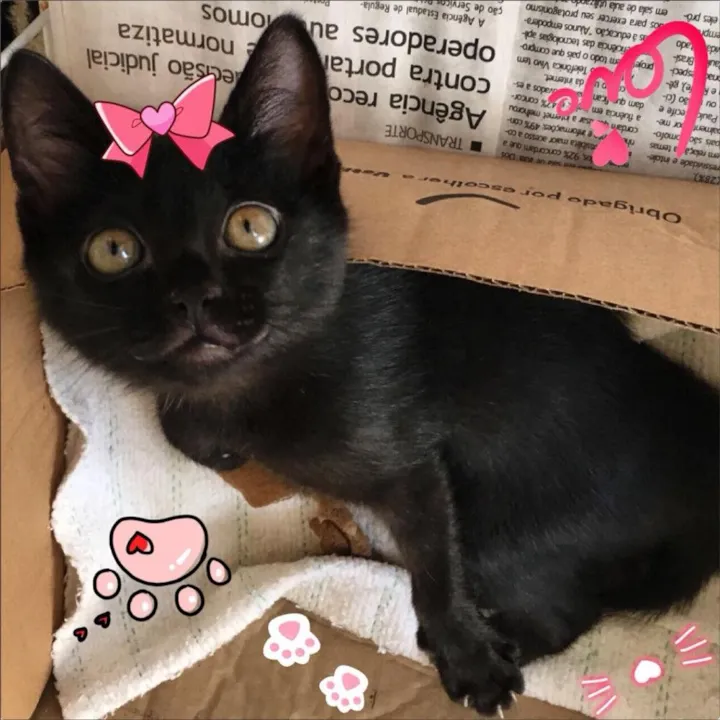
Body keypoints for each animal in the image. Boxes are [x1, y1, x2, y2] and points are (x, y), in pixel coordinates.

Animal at [3, 15, 718, 717]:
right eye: (113, 250)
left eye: (251, 228)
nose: (194, 296)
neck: (262, 384)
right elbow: (181, 423)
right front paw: (218, 443)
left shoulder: (411, 466)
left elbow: (434, 561)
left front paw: (466, 653)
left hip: (509, 534)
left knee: (561, 615)